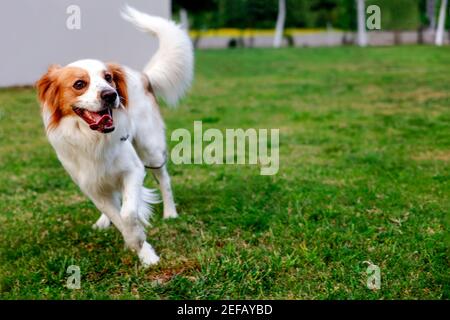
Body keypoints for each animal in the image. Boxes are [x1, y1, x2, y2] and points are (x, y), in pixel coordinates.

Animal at [36, 6, 194, 268]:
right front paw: (137, 245)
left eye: (108, 77)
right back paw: (103, 220)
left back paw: (170, 213)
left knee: (164, 180)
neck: (93, 140)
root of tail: (142, 75)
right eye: (79, 84)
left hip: (150, 150)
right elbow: (118, 215)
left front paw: (142, 247)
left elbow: (128, 213)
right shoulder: (91, 186)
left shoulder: (134, 170)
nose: (111, 95)